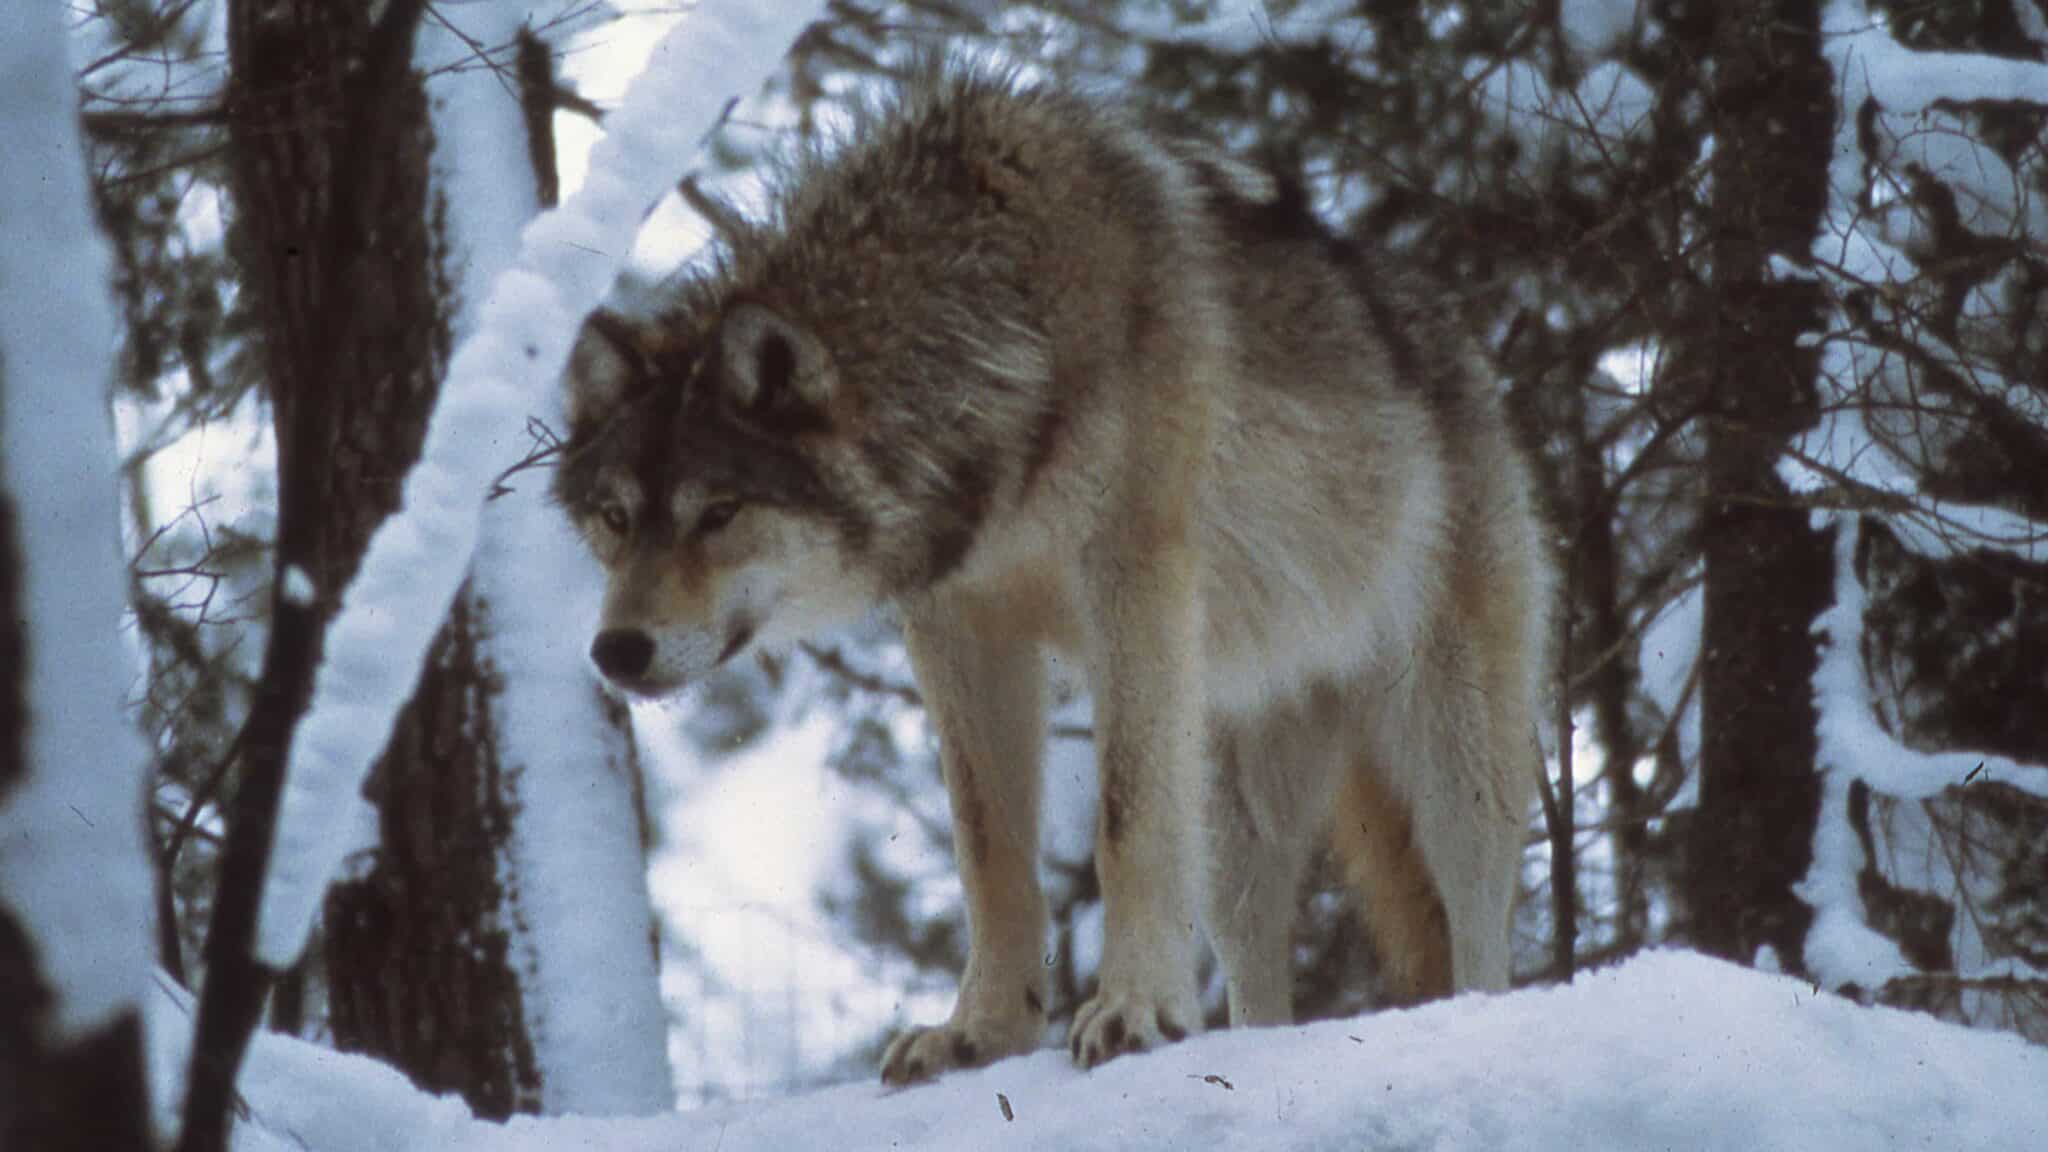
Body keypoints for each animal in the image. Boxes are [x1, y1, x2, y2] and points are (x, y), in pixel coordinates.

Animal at [551, 67, 1554, 1085]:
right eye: (616, 519)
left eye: (719, 513)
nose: (617, 650)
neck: (995, 340)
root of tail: (1468, 354)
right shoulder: (956, 625)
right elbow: (987, 849)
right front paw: (983, 1032)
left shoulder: (1132, 584)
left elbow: (1124, 822)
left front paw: (1134, 1011)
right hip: (1238, 807)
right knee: (1253, 944)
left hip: (1452, 751)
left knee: (1477, 911)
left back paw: (1469, 1012)